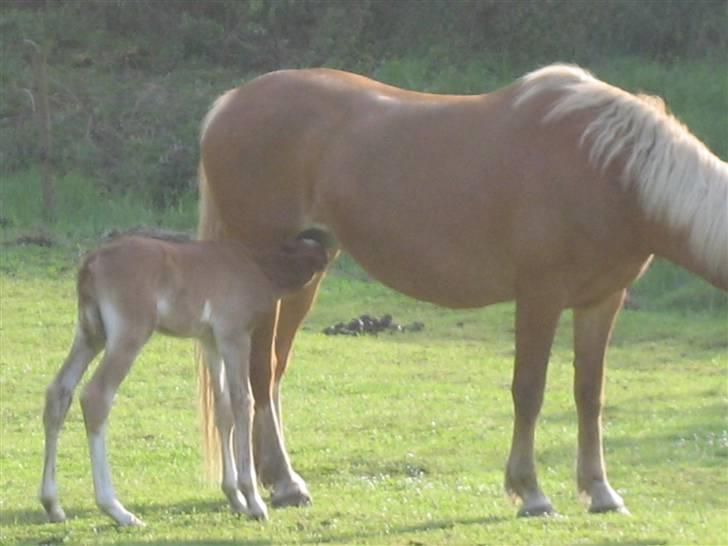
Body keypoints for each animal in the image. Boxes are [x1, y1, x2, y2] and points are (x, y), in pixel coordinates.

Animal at [41, 230, 332, 524]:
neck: (259, 267)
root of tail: (91, 261)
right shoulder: (234, 335)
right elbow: (243, 402)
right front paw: (253, 502)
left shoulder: (210, 340)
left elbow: (222, 410)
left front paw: (235, 498)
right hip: (128, 335)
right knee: (96, 396)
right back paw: (117, 510)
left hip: (91, 335)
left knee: (59, 391)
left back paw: (52, 505)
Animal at [196, 65, 728, 516]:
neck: (608, 168)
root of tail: (228, 104)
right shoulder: (540, 295)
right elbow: (529, 390)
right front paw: (530, 491)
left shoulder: (601, 301)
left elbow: (589, 394)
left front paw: (599, 491)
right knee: (257, 375)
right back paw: (280, 484)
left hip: (304, 273)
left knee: (272, 373)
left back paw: (277, 479)